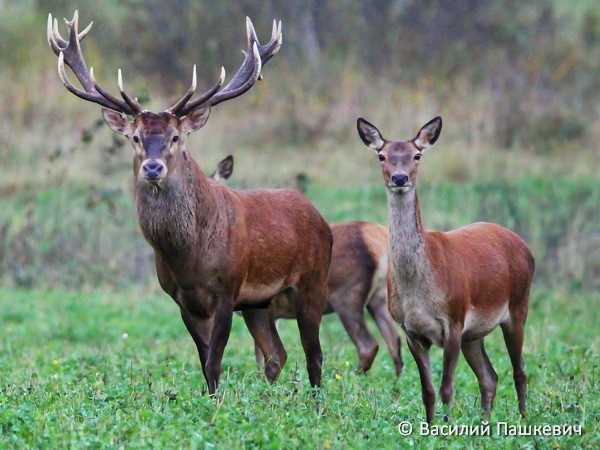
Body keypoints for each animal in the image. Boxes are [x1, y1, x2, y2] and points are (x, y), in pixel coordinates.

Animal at [48, 11, 332, 394]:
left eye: (175, 137)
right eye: (135, 137)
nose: (153, 167)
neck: (188, 255)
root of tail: (320, 218)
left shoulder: (227, 290)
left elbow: (215, 360)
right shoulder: (181, 299)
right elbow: (204, 361)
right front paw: (211, 399)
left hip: (312, 283)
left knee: (314, 354)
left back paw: (316, 402)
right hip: (259, 304)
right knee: (276, 354)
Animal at [214, 156, 404, 374]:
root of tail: (379, 239)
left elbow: (263, 356)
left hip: (348, 296)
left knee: (368, 345)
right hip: (378, 297)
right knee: (394, 340)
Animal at [356, 115, 536, 422]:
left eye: (417, 155)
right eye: (382, 155)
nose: (400, 178)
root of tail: (524, 246)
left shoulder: (453, 321)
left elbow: (446, 389)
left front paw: (446, 427)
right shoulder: (411, 330)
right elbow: (427, 391)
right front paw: (430, 427)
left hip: (517, 307)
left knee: (520, 372)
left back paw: (524, 418)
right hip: (473, 335)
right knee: (489, 376)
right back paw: (485, 424)